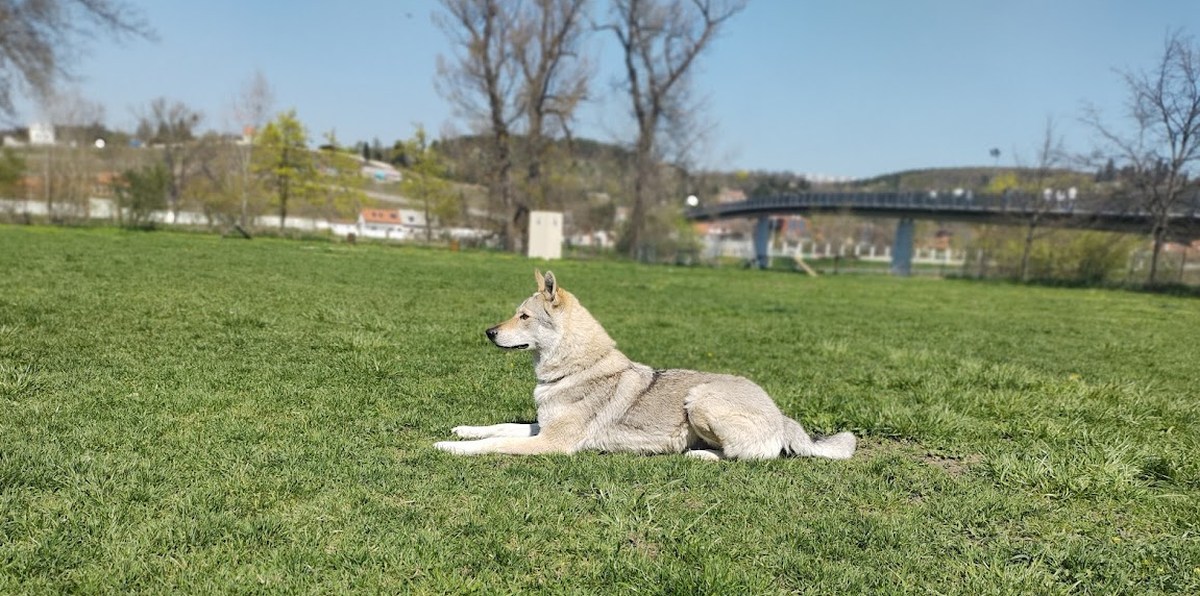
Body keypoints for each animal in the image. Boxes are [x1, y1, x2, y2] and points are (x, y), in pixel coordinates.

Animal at [432, 269, 854, 460]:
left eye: (523, 316)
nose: (488, 332)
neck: (575, 369)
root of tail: (781, 414)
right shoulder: (542, 426)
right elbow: (502, 426)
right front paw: (462, 430)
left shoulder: (553, 443)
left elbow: (496, 442)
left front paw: (446, 447)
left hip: (699, 400)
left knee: (744, 455)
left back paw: (696, 454)